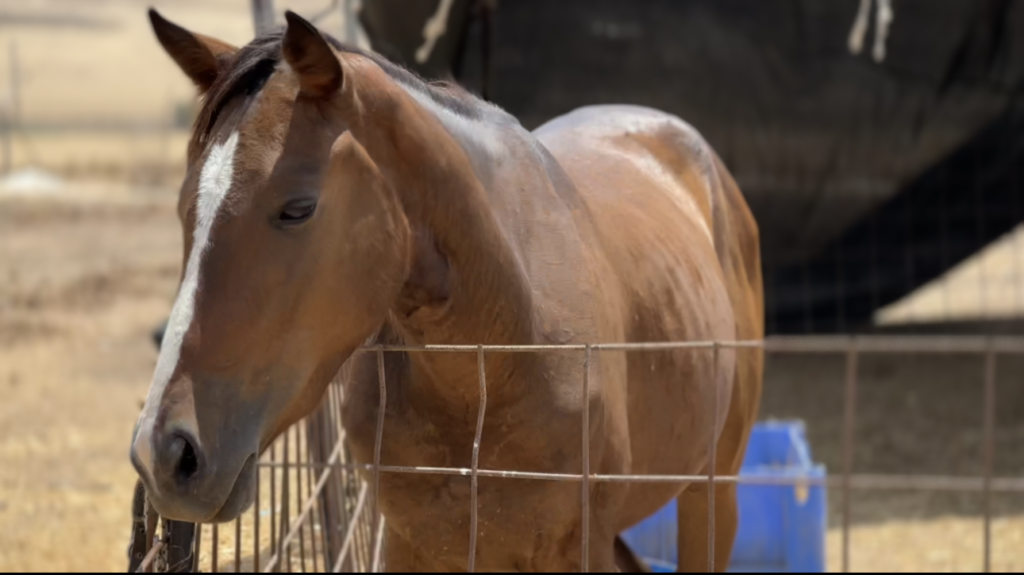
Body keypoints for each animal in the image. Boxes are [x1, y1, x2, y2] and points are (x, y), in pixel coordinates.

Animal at [130, 7, 761, 568]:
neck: (500, 353)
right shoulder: (415, 545)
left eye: (298, 208)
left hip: (713, 494)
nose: (164, 454)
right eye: (186, 208)